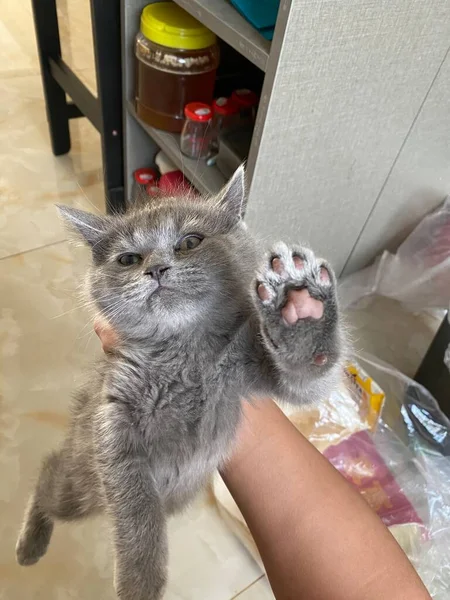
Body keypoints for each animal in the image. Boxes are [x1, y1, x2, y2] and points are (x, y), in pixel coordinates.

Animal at [15, 168, 344, 600]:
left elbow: (306, 379)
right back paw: (29, 545)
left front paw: (300, 306)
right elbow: (138, 513)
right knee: (49, 475)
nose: (155, 268)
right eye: (129, 259)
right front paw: (139, 585)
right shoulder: (113, 418)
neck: (182, 352)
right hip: (81, 483)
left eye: (190, 242)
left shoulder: (253, 369)